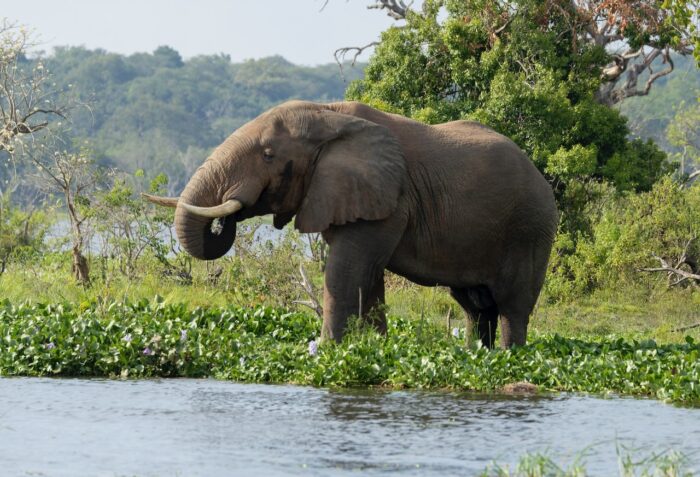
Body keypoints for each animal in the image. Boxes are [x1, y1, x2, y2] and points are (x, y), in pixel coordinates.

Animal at [144, 100, 558, 348]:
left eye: (268, 155)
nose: (225, 220)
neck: (328, 115)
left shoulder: (389, 201)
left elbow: (346, 273)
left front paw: (328, 350)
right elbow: (368, 279)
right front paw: (374, 347)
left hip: (531, 229)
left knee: (512, 305)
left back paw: (507, 357)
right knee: (474, 305)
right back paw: (475, 354)